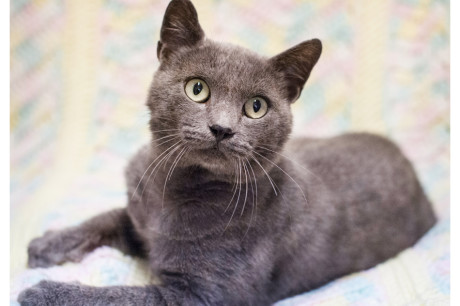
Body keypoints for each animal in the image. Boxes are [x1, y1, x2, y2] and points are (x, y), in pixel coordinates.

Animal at [17, 0, 434, 306]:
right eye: (196, 88)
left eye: (256, 107)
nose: (221, 128)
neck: (172, 188)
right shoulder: (140, 213)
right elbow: (107, 217)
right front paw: (47, 244)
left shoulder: (202, 295)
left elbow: (120, 297)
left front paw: (44, 291)